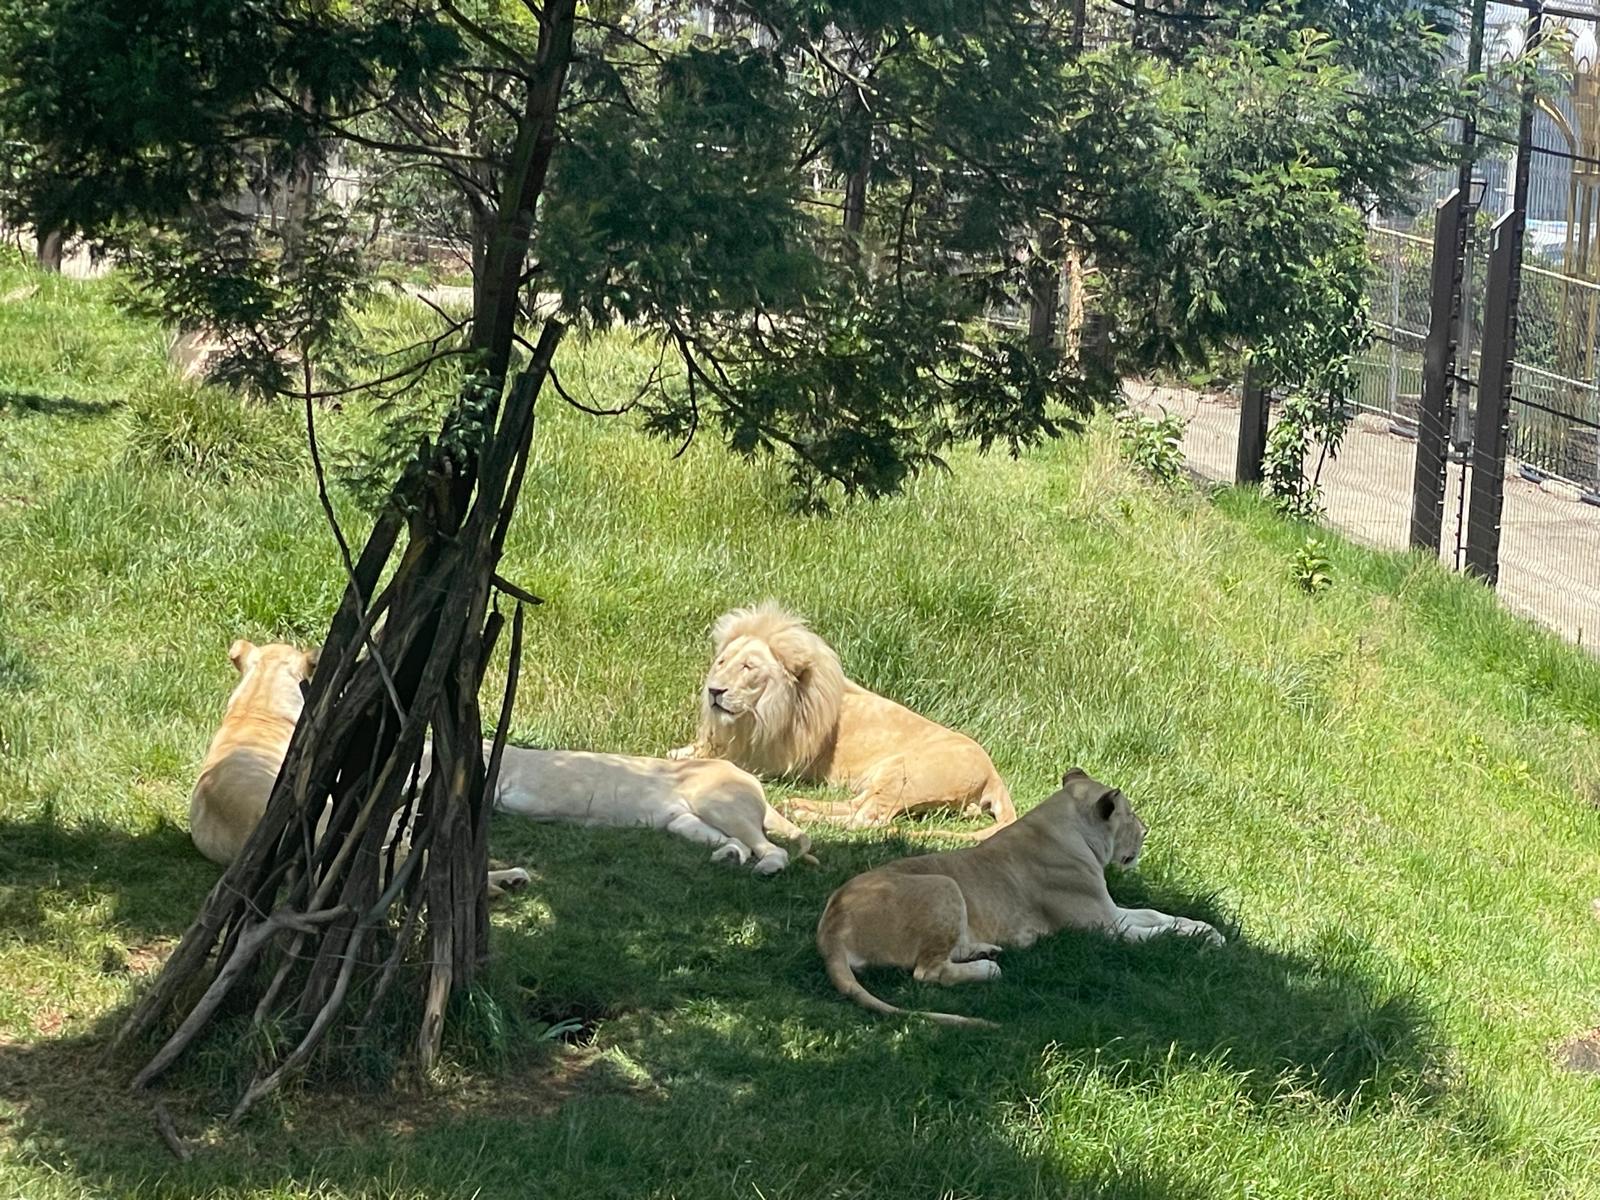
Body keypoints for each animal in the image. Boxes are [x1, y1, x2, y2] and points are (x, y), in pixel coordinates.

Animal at [488, 745, 816, 874]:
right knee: (741, 845)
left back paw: (767, 867)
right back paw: (728, 857)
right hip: (684, 822)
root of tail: (750, 778)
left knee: (773, 849)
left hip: (720, 805)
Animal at [670, 601, 1015, 831]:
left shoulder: (765, 762)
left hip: (904, 773)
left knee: (868, 819)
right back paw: (796, 806)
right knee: (857, 806)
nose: (714, 691)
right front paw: (678, 753)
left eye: (748, 668)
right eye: (722, 662)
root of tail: (993, 773)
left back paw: (801, 813)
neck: (753, 716)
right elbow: (687, 751)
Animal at [816, 768, 1224, 1026]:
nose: (1147, 830)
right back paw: (991, 966)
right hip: (944, 884)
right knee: (927, 972)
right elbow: (1157, 931)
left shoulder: (1112, 911)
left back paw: (987, 949)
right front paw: (1202, 937)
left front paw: (1209, 929)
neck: (1065, 825)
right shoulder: (1105, 928)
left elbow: (1158, 914)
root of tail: (831, 929)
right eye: (1131, 814)